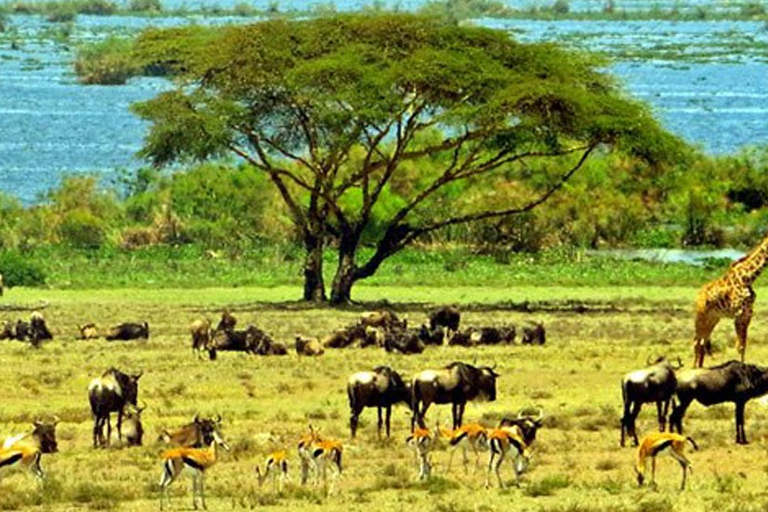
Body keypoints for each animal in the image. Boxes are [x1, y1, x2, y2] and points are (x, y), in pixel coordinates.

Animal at [692, 236, 768, 368]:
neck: (748, 277)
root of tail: (698, 295)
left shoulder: (748, 314)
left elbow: (743, 346)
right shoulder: (739, 314)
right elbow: (740, 346)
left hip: (713, 319)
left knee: (702, 342)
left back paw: (700, 367)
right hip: (701, 316)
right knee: (696, 342)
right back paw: (693, 368)